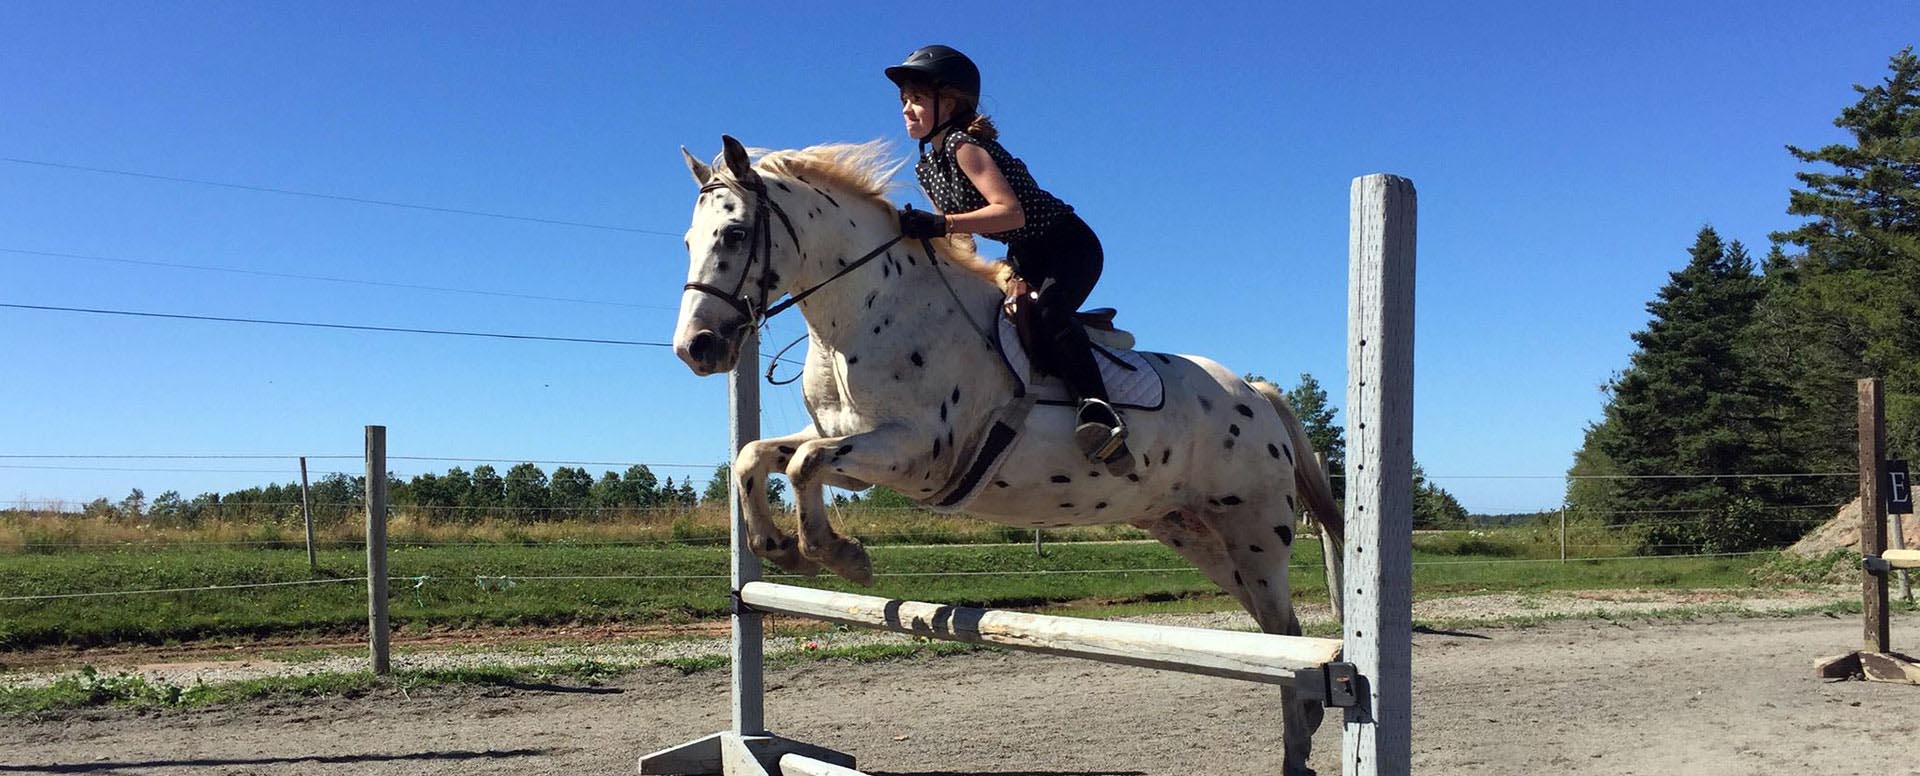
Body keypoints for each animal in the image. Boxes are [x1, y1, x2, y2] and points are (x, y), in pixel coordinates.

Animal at [675, 136, 1351, 772]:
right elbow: (758, 457)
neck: (866, 315)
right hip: (1195, 532)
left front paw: (844, 558)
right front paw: (779, 548)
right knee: (1277, 638)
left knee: (1287, 635)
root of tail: (1255, 392)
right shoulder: (854, 447)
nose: (696, 349)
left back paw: (1300, 744)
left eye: (734, 234)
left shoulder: (914, 454)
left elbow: (803, 463)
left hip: (1254, 530)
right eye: (687, 240)